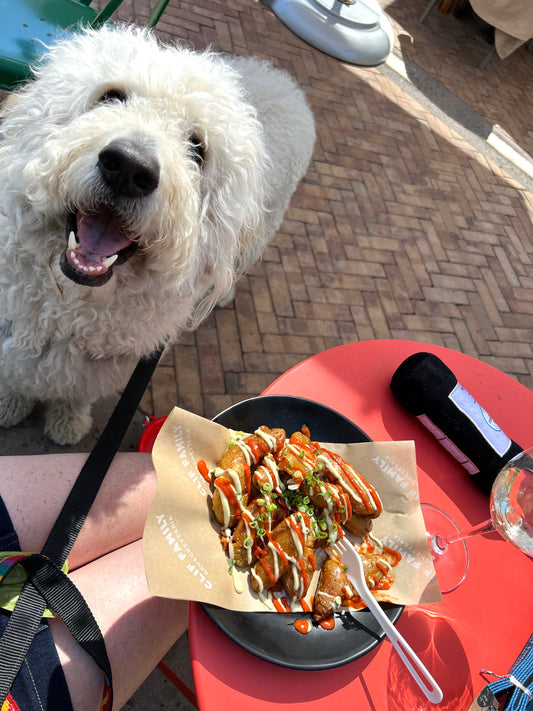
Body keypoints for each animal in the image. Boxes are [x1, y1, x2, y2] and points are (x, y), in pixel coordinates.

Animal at [0, 25, 314, 444]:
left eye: (197, 146)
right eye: (110, 97)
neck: (71, 309)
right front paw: (9, 404)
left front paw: (68, 421)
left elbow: (76, 392)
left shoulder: (105, 363)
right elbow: (15, 374)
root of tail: (283, 79)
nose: (129, 167)